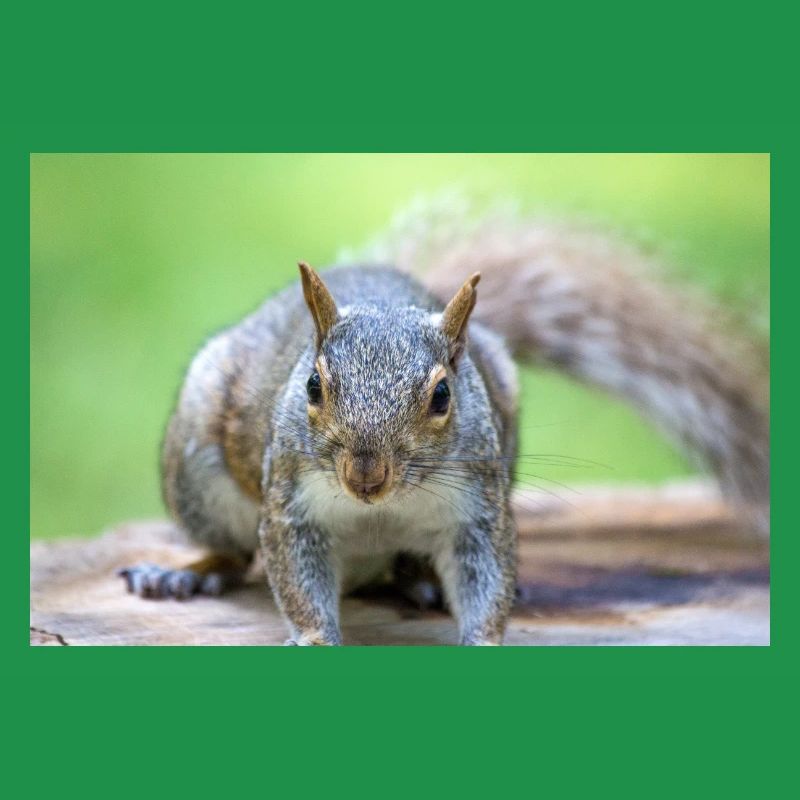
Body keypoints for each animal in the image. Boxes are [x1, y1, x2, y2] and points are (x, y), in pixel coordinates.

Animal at [118, 200, 770, 646]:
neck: (379, 511)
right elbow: (294, 577)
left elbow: (485, 576)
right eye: (313, 386)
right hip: (198, 472)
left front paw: (483, 635)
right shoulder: (290, 502)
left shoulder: (477, 509)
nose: (366, 476)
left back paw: (420, 580)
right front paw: (314, 638)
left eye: (441, 396)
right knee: (231, 551)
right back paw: (183, 575)